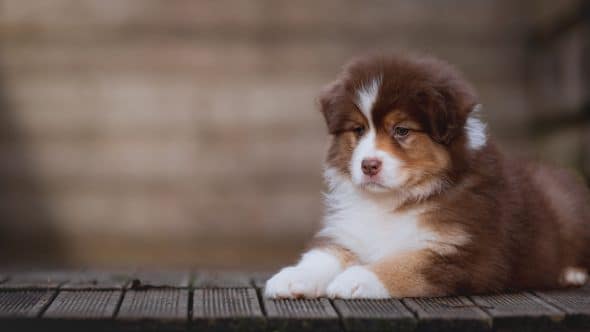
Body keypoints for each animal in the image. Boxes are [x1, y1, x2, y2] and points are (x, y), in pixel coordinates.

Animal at [268, 52, 590, 298]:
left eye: (402, 130)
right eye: (358, 129)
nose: (368, 165)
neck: (393, 202)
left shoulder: (465, 252)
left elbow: (405, 264)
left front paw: (355, 279)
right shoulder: (348, 231)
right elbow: (323, 254)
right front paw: (291, 277)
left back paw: (572, 274)